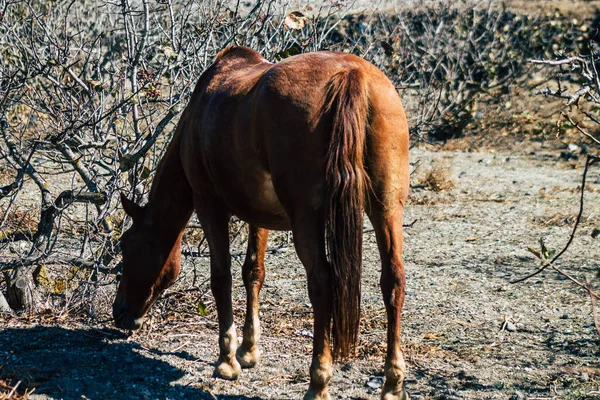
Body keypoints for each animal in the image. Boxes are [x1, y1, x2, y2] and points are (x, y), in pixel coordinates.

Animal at [113, 45, 408, 398]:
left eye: (127, 246)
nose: (119, 313)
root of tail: (352, 74)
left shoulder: (208, 204)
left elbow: (221, 277)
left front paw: (227, 359)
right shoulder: (261, 214)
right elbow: (253, 272)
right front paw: (249, 350)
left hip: (307, 219)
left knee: (322, 283)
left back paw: (318, 382)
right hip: (386, 208)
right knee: (393, 280)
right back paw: (393, 383)